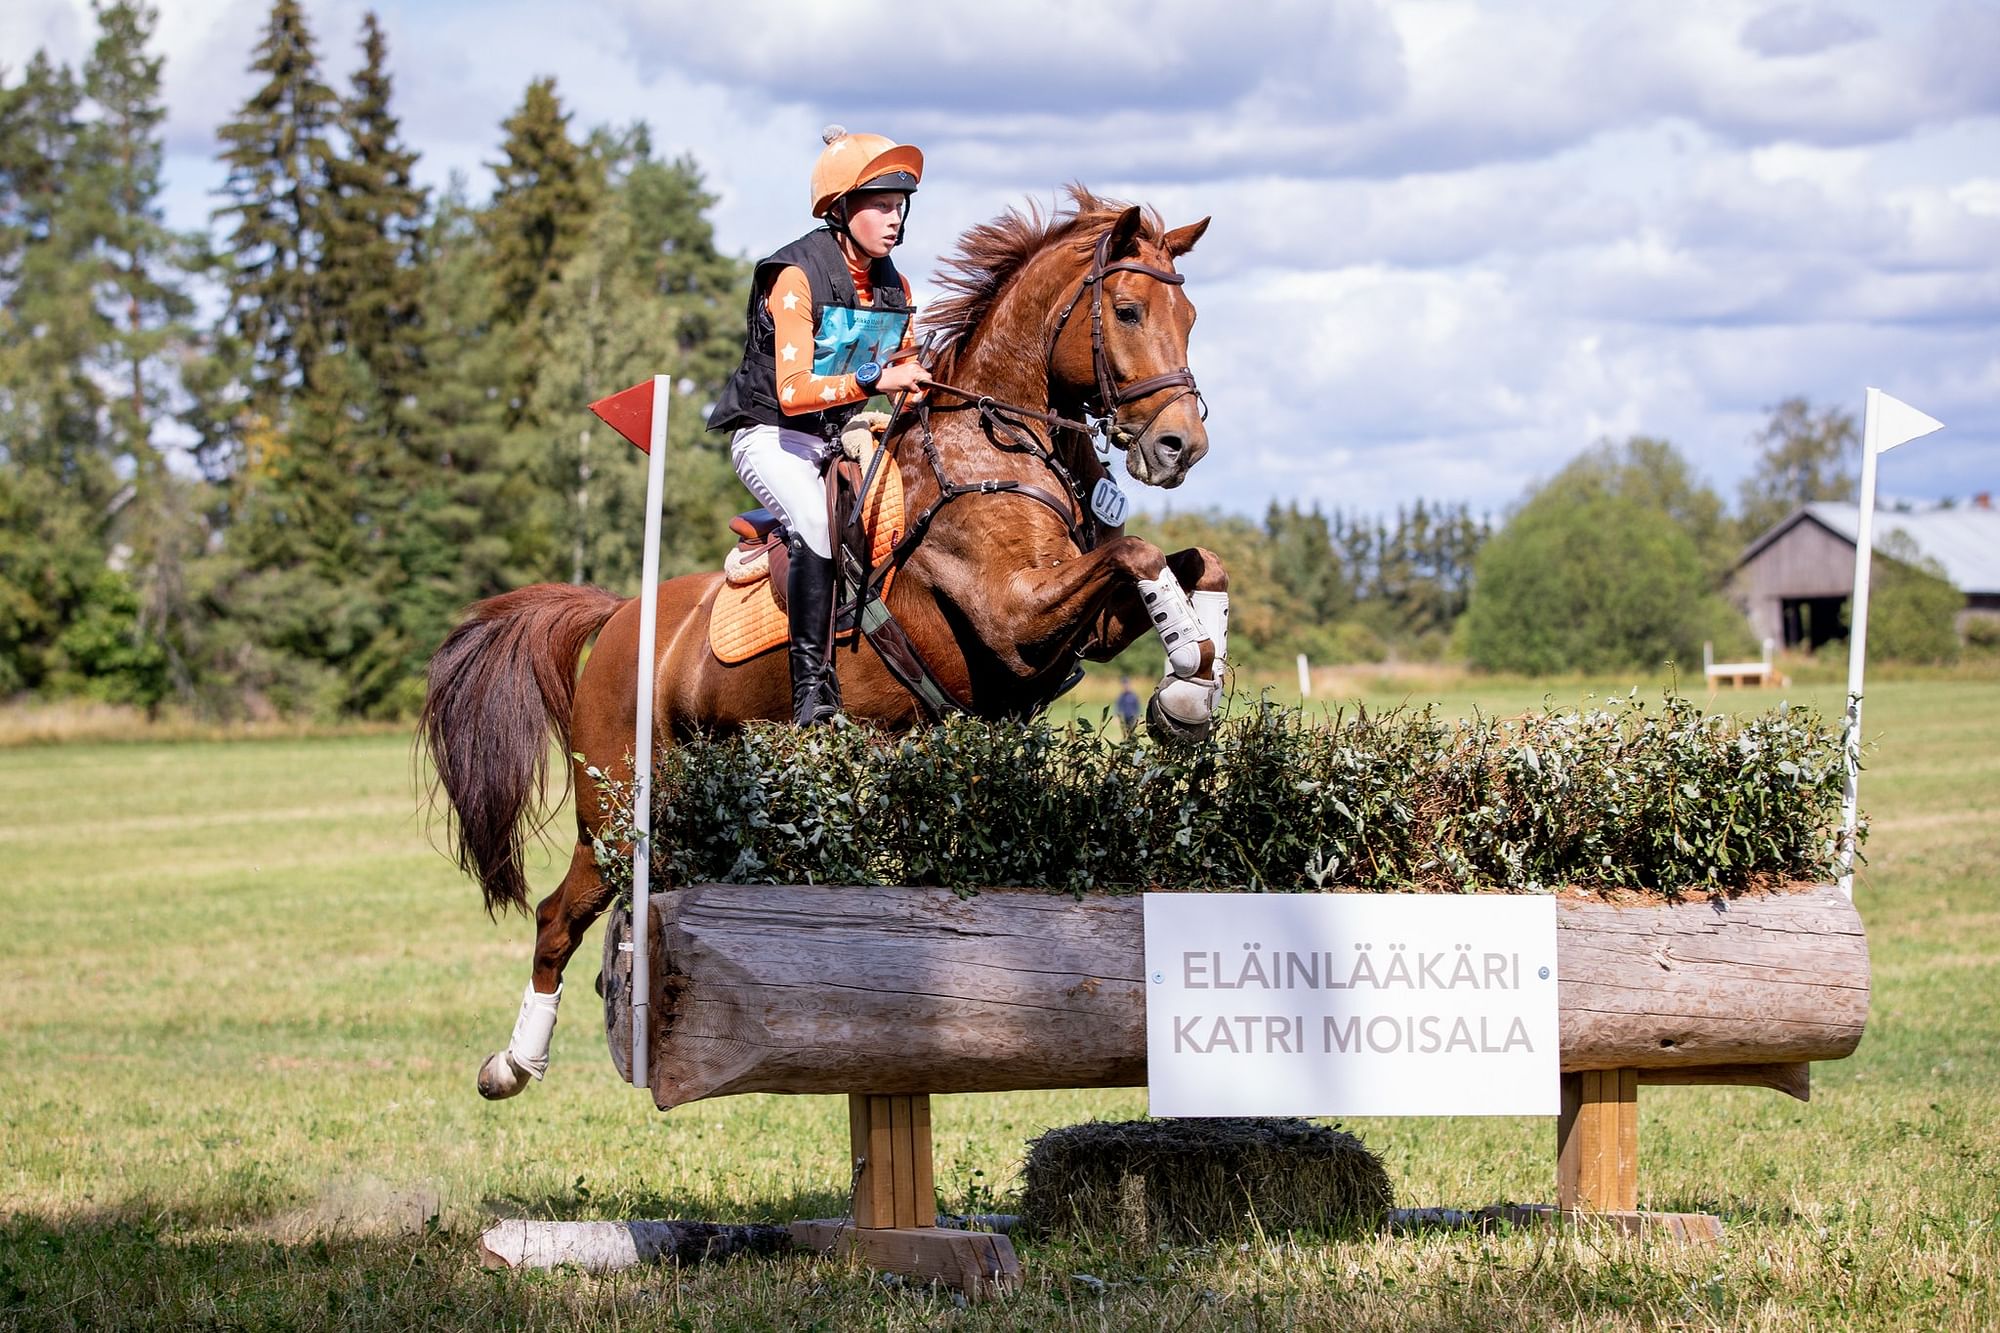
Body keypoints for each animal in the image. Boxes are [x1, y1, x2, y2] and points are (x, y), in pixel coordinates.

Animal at [424, 189, 1232, 1096]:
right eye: (1127, 310)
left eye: (1189, 317)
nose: (1181, 447)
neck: (1001, 439)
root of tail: (622, 613)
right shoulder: (1013, 617)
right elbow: (1139, 555)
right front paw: (1187, 674)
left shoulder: (1076, 626)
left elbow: (1195, 562)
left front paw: (1194, 681)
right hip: (619, 806)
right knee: (556, 916)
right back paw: (512, 1063)